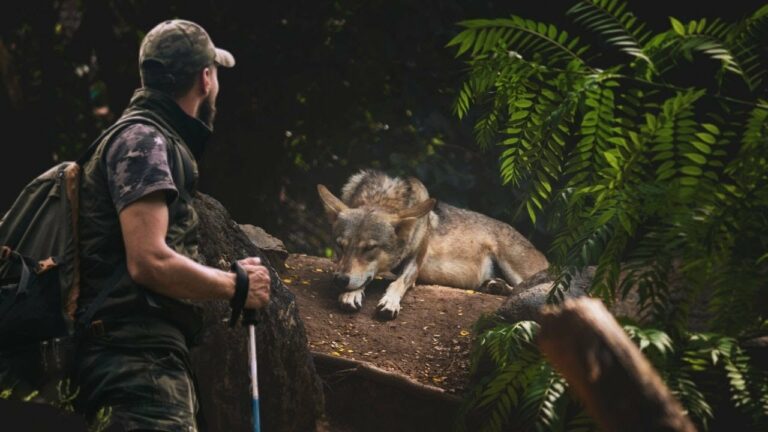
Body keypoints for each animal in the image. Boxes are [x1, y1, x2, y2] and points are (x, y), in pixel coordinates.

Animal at [316, 170, 548, 318]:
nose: (340, 280)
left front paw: (389, 302)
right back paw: (493, 285)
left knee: (528, 287)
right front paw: (351, 294)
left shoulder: (415, 263)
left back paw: (497, 286)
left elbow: (397, 283)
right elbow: (365, 278)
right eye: (340, 246)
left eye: (369, 248)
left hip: (514, 266)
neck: (383, 197)